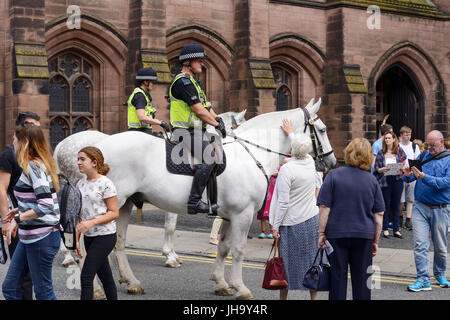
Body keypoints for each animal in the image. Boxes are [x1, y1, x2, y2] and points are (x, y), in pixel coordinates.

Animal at [67, 98, 334, 300]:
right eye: (322, 130)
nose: (331, 162)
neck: (250, 154)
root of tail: (99, 146)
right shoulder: (243, 214)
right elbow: (238, 250)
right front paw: (241, 287)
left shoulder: (229, 215)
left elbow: (224, 248)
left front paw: (221, 283)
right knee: (86, 243)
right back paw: (97, 289)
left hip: (124, 204)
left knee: (119, 243)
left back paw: (131, 282)